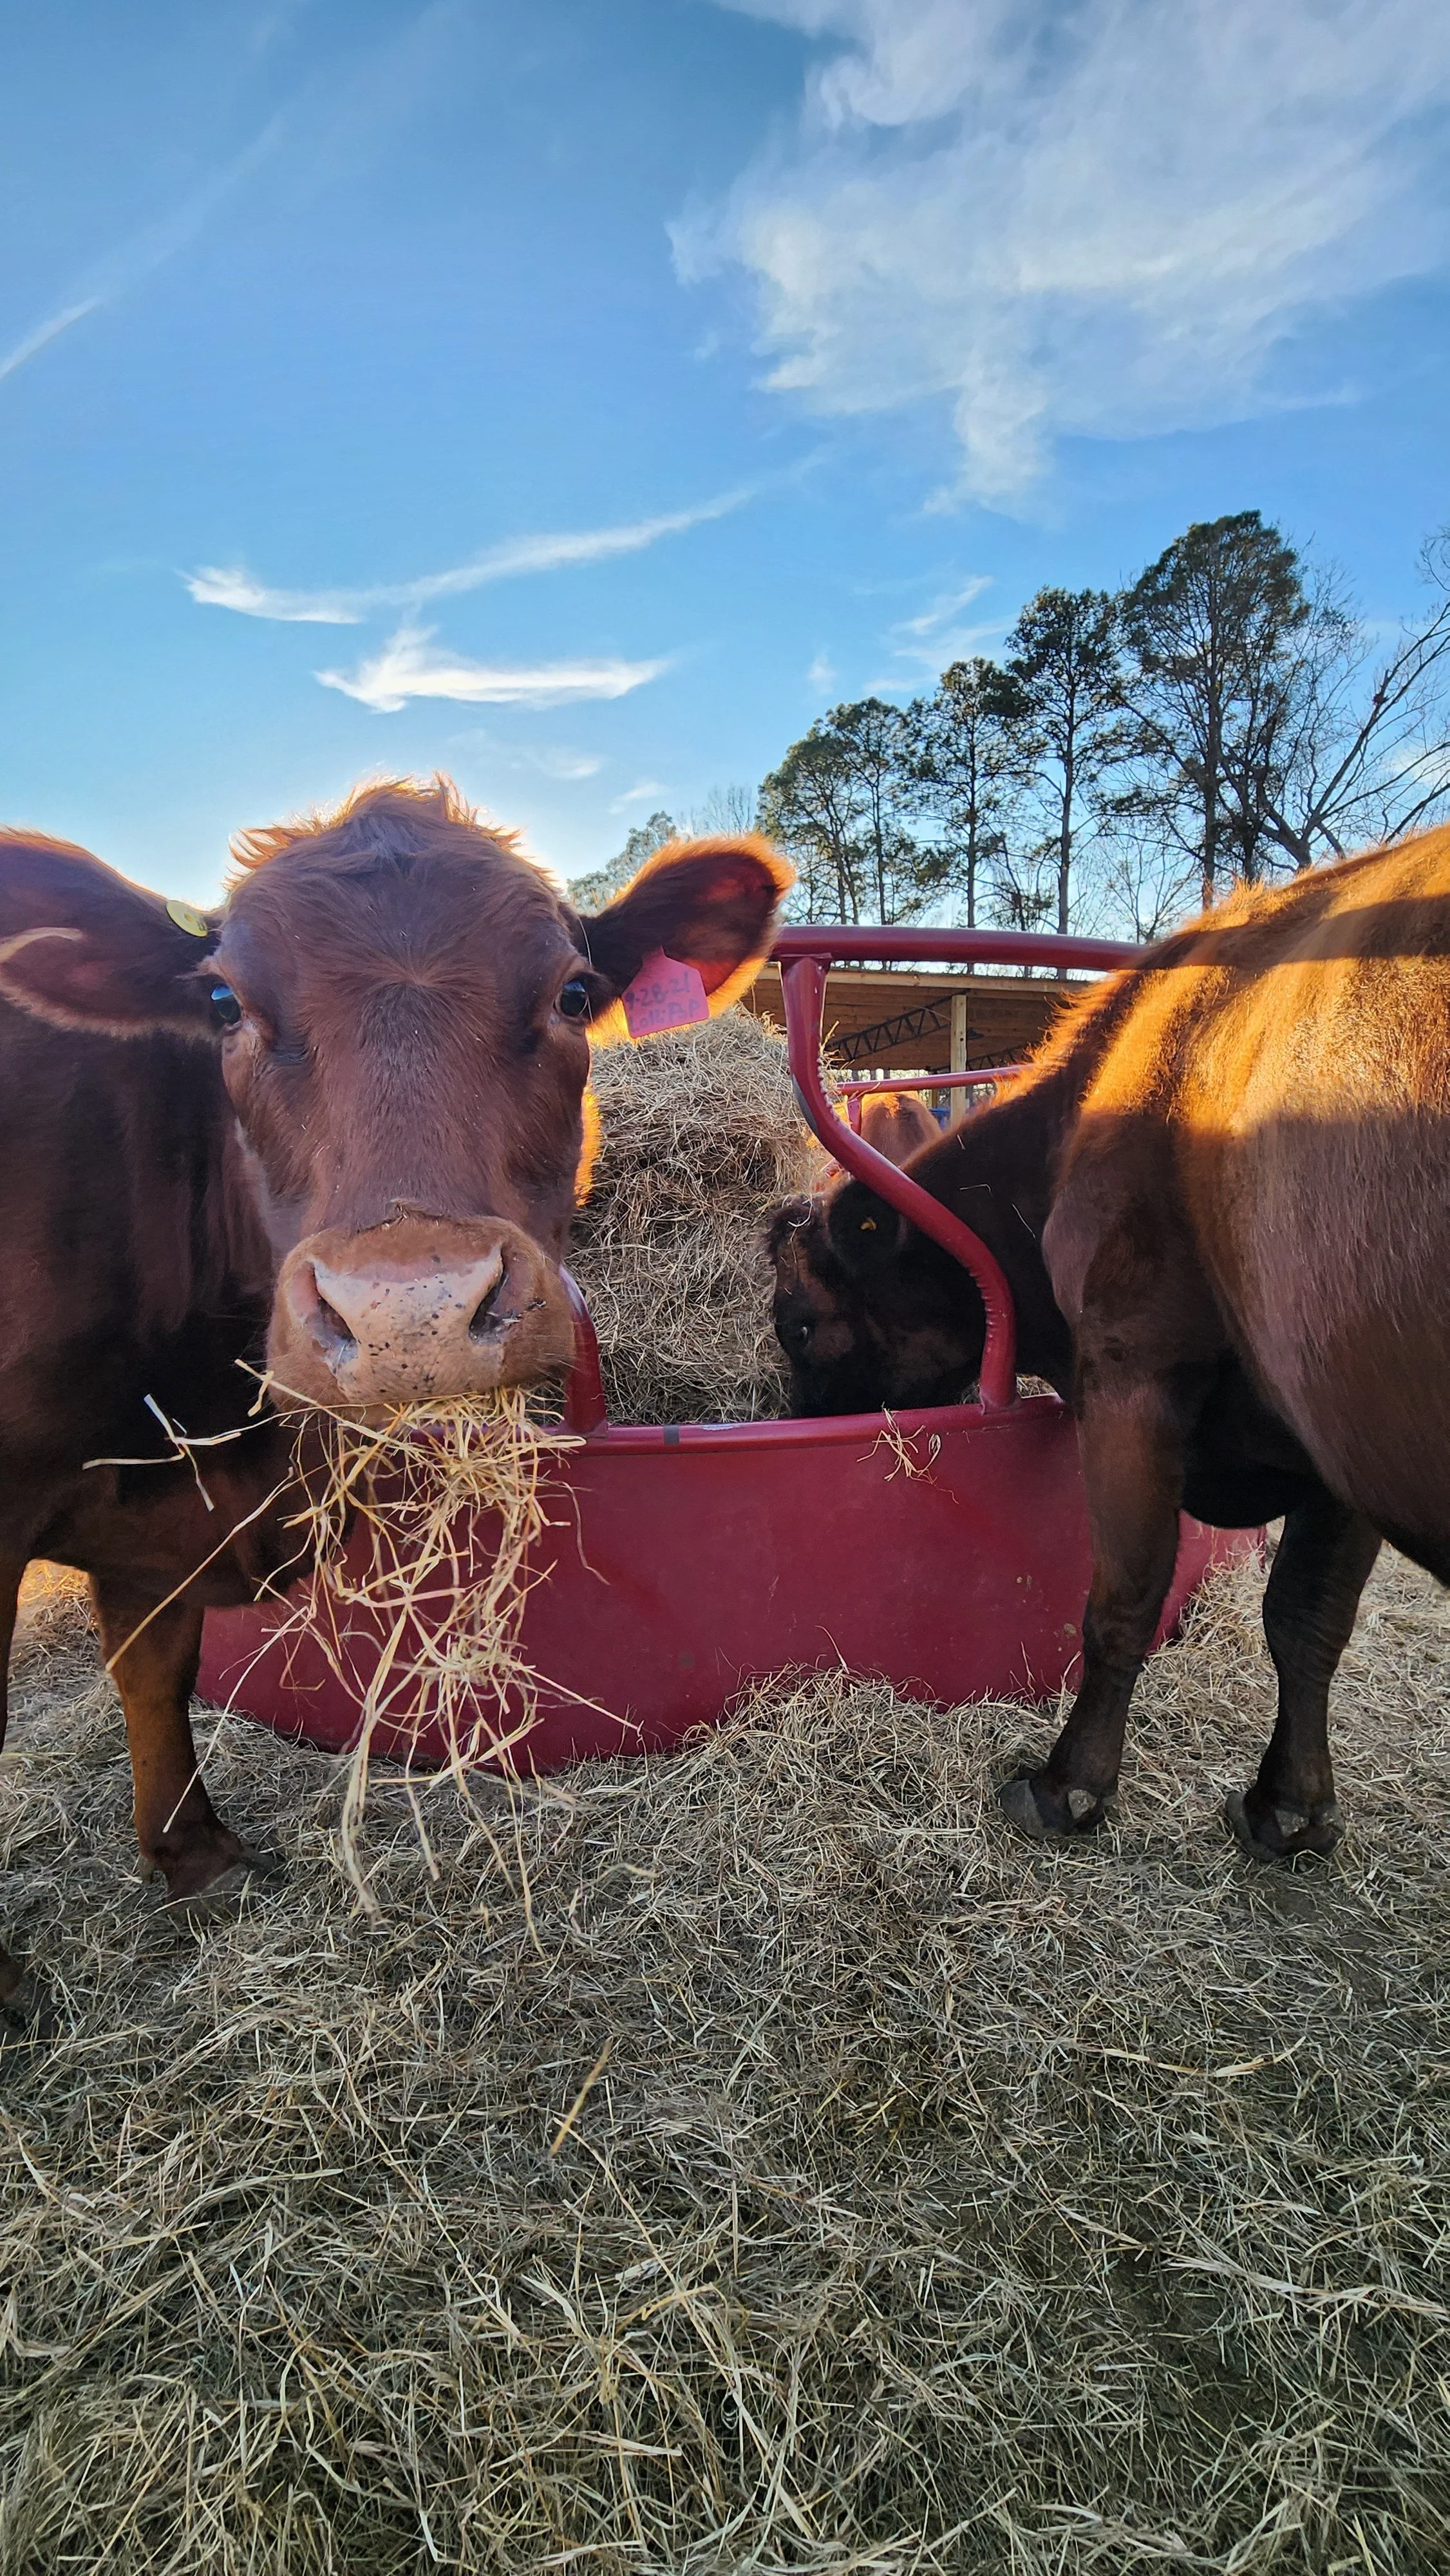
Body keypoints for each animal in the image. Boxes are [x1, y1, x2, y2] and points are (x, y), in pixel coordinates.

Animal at [0, 778, 789, 2004]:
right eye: (222, 1001)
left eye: (573, 992)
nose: (409, 1314)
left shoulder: (160, 1506)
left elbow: (155, 1672)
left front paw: (194, 1858)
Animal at [765, 830, 1450, 1864]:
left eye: (798, 1323)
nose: (794, 1421)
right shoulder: (1336, 1441)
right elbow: (1307, 1618)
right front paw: (1291, 1807)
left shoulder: (1134, 1372)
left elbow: (1123, 1600)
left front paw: (1068, 1787)